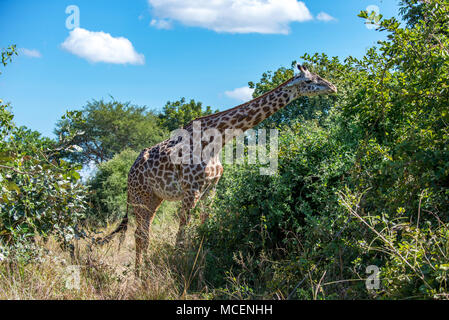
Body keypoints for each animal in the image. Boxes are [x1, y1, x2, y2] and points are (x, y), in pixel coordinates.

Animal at [99, 64, 336, 272]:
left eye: (319, 76)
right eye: (309, 81)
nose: (332, 87)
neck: (216, 141)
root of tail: (129, 173)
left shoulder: (211, 188)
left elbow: (204, 227)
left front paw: (201, 258)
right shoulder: (191, 190)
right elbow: (182, 233)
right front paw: (178, 264)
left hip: (154, 198)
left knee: (143, 233)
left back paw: (144, 270)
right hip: (140, 197)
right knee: (141, 234)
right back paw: (139, 274)